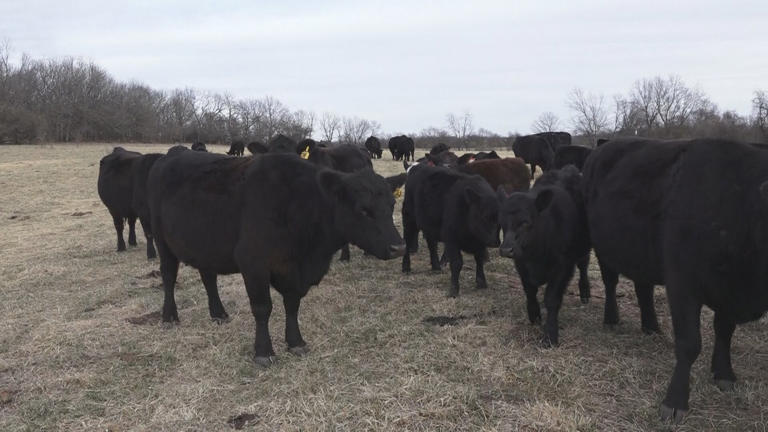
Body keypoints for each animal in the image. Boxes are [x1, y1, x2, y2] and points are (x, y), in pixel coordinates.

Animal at [147, 147, 405, 366]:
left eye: (392, 205)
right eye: (363, 209)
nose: (399, 247)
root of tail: (173, 153)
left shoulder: (294, 271)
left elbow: (292, 305)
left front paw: (296, 342)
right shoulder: (253, 263)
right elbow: (263, 308)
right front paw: (264, 351)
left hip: (205, 245)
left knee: (208, 277)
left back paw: (218, 313)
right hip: (162, 241)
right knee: (168, 277)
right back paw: (169, 316)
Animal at [401, 165, 500, 297]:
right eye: (484, 217)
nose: (495, 242)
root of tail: (416, 167)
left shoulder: (480, 243)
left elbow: (479, 259)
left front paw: (481, 283)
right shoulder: (451, 238)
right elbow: (457, 263)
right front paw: (454, 290)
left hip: (429, 225)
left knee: (431, 244)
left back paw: (436, 267)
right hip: (409, 219)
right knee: (407, 242)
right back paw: (406, 267)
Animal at [498, 166, 591, 346]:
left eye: (525, 222)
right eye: (501, 222)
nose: (506, 250)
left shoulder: (563, 267)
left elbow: (552, 299)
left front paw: (551, 335)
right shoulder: (521, 264)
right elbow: (530, 291)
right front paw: (534, 314)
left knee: (583, 265)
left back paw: (585, 291)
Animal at [582, 137, 768, 421]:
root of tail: (604, 145)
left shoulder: (727, 290)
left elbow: (725, 331)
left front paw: (724, 374)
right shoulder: (683, 285)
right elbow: (689, 343)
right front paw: (675, 402)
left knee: (643, 288)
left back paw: (650, 326)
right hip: (603, 248)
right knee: (611, 283)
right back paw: (612, 319)